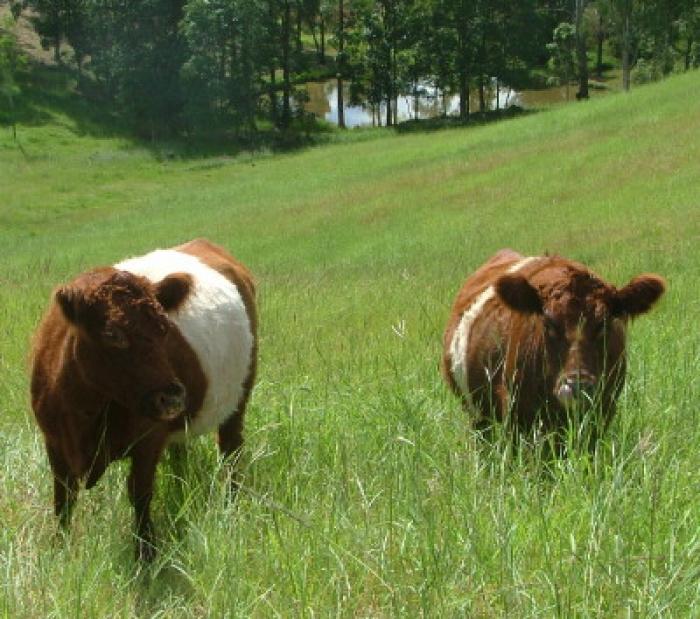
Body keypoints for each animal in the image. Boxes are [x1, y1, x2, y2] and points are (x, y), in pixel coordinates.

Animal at [30, 239, 258, 560]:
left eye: (165, 328)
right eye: (112, 334)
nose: (172, 396)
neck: (84, 407)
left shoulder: (149, 440)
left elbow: (139, 493)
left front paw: (147, 552)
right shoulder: (54, 442)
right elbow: (63, 499)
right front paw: (59, 548)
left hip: (238, 398)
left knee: (231, 450)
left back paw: (231, 502)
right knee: (181, 453)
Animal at [442, 249, 668, 444]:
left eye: (604, 324)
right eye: (549, 323)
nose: (578, 386)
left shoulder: (603, 411)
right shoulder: (516, 417)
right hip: (477, 415)